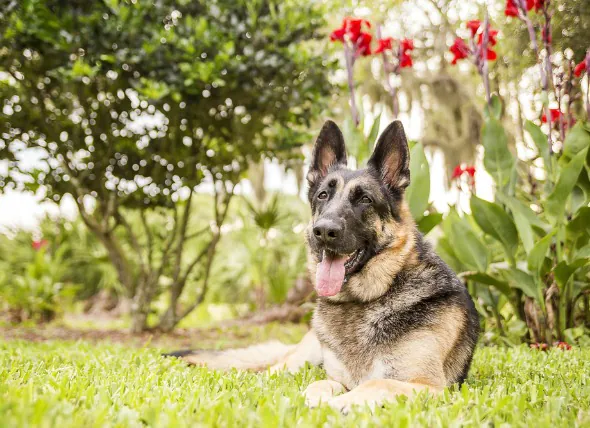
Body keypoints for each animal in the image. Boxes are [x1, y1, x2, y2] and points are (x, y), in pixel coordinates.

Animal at [166, 119, 480, 412]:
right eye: (322, 196)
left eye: (365, 199)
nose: (324, 231)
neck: (364, 300)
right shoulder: (336, 378)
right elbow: (320, 383)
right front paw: (309, 400)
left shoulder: (428, 386)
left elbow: (376, 383)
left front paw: (341, 404)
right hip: (299, 358)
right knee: (269, 372)